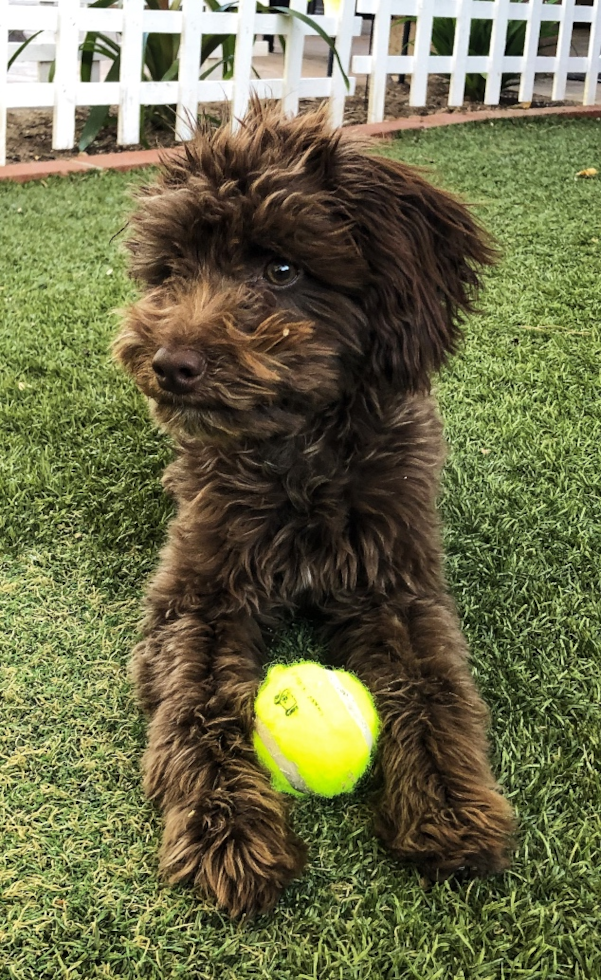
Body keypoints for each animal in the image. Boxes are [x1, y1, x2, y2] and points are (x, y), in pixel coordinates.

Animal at [113, 105, 516, 920]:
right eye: (170, 272)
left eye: (283, 270)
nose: (169, 364)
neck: (298, 457)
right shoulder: (198, 593)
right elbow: (196, 703)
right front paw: (228, 834)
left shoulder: (397, 584)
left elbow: (435, 689)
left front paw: (453, 810)